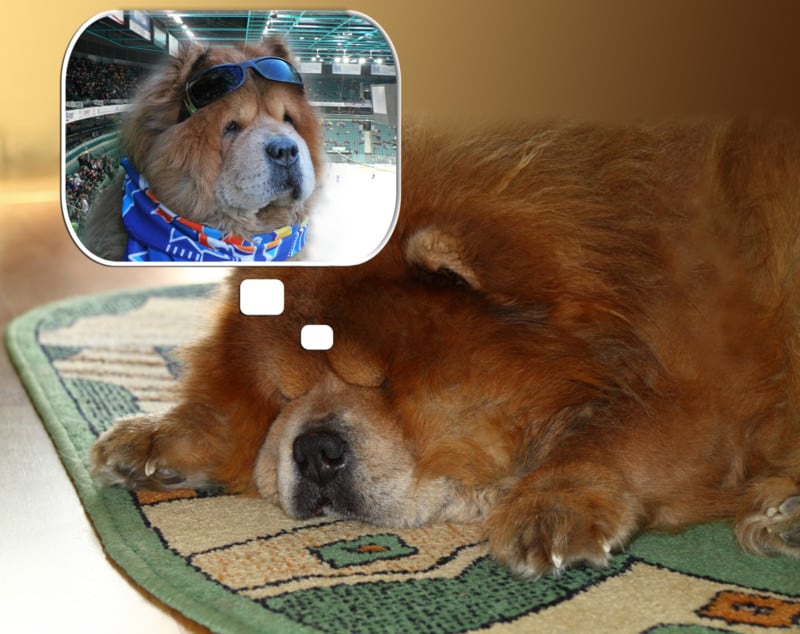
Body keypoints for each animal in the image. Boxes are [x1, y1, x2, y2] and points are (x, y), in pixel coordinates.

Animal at [90, 116, 796, 576]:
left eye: (387, 383)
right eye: (285, 393)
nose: (314, 449)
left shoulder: (717, 384)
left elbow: (618, 429)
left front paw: (552, 499)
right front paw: (163, 437)